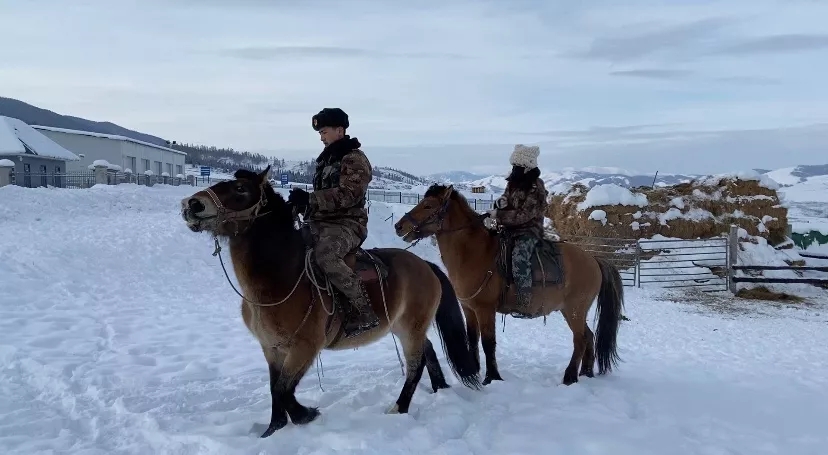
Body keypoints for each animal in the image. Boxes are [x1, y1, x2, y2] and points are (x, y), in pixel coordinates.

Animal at [178, 168, 482, 438]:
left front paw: (306, 415)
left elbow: (283, 390)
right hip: (405, 327)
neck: (282, 278)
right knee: (428, 352)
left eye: (241, 189)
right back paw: (439, 388)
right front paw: (273, 430)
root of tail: (426, 265)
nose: (192, 204)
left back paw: (400, 407)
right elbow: (274, 388)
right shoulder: (271, 349)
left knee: (415, 366)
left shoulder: (305, 348)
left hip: (411, 328)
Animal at [392, 185, 620, 388]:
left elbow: (488, 343)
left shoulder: (485, 309)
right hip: (575, 311)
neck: (474, 253)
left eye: (428, 205)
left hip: (574, 310)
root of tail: (594, 259)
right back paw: (586, 372)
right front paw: (475, 371)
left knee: (580, 339)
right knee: (589, 336)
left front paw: (491, 377)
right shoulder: (469, 309)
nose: (399, 226)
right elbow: (472, 339)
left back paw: (570, 377)